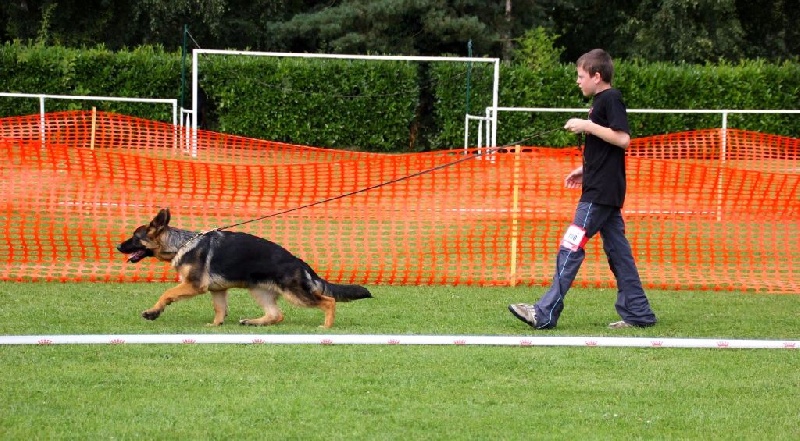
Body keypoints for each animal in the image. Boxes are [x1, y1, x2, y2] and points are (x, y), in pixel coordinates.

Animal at [116, 209, 372, 326]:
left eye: (135, 238)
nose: (118, 247)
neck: (180, 243)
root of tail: (300, 262)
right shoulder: (217, 290)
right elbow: (219, 309)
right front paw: (215, 325)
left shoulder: (194, 286)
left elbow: (167, 293)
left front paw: (153, 312)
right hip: (259, 291)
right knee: (276, 315)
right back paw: (253, 322)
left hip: (295, 293)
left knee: (328, 301)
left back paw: (326, 326)